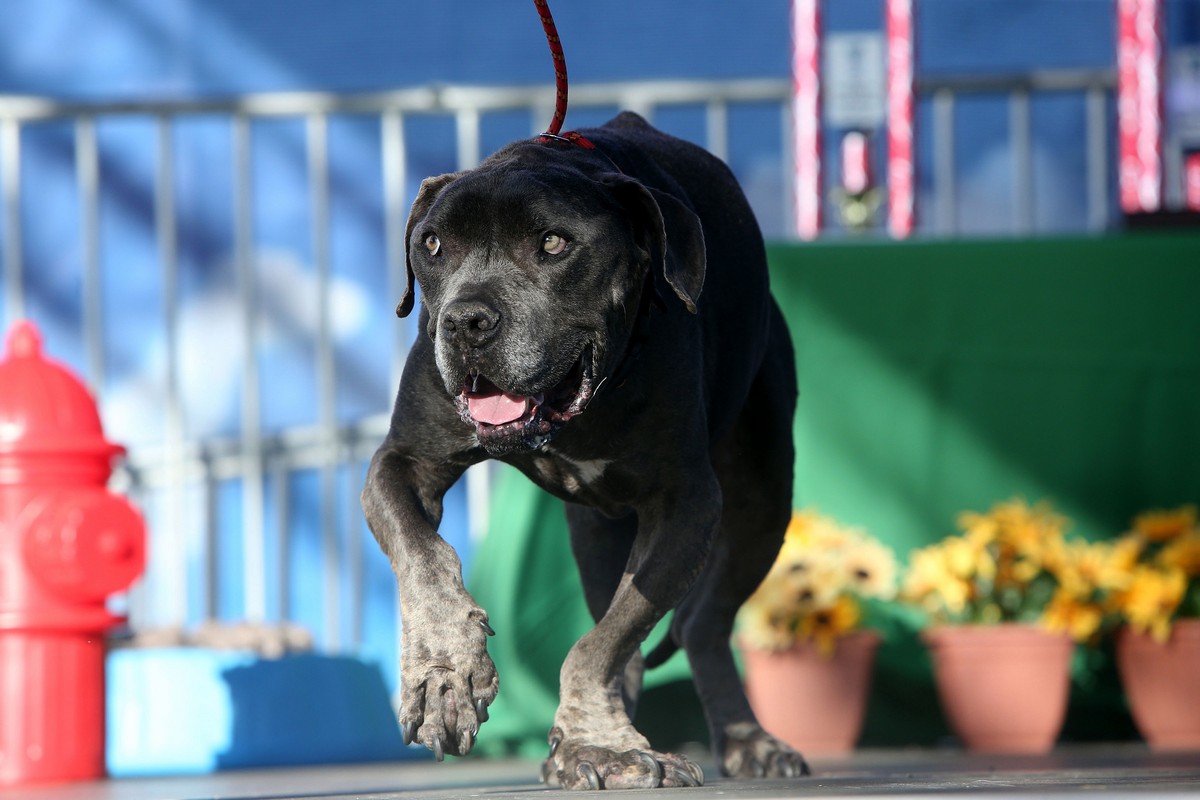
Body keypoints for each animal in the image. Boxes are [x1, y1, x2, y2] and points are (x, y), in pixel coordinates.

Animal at [357, 110, 806, 786]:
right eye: (432, 245)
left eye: (553, 244)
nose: (465, 321)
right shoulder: (402, 462)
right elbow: (422, 554)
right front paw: (444, 672)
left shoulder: (686, 503)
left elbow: (603, 643)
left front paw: (599, 744)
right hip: (594, 531)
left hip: (762, 499)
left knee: (699, 623)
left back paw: (744, 740)